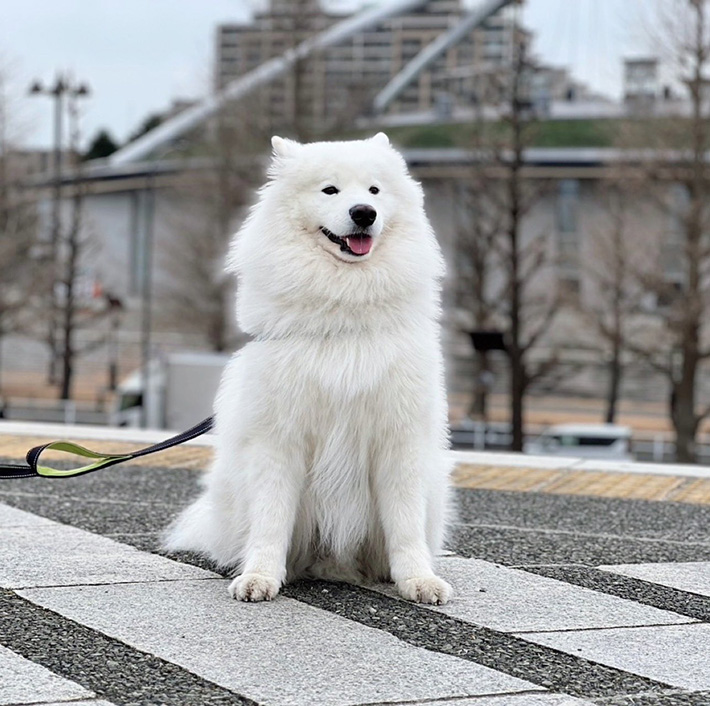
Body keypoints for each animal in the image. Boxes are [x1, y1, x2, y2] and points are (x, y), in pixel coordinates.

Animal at [164, 133, 454, 604]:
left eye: (374, 190)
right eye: (329, 190)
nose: (364, 213)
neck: (343, 319)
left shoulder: (399, 438)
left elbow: (406, 525)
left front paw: (418, 580)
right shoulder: (278, 438)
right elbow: (270, 518)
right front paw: (260, 577)